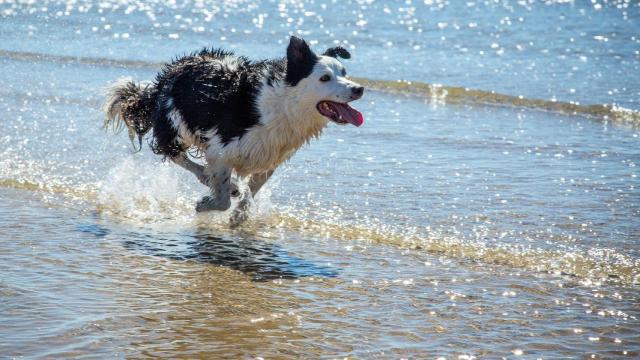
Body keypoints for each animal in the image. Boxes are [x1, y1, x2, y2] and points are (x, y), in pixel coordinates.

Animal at [105, 35, 364, 222]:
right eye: (324, 78)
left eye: (344, 73)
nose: (359, 89)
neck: (282, 102)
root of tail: (172, 71)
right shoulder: (221, 149)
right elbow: (222, 199)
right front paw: (207, 204)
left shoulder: (270, 154)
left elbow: (253, 188)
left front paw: (241, 214)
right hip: (172, 124)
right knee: (174, 154)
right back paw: (211, 178)